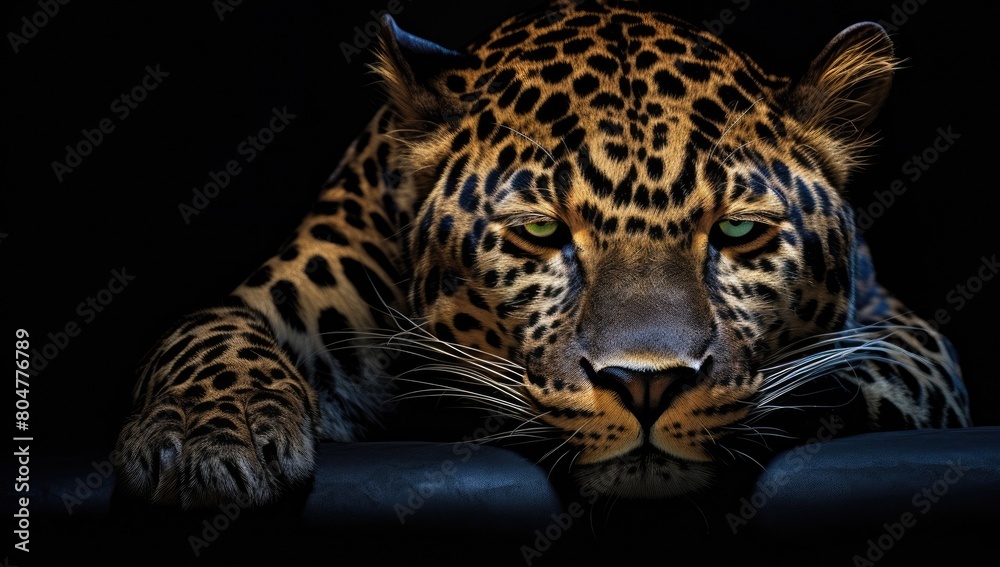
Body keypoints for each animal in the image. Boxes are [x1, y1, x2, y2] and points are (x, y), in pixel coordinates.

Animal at [114, 0, 972, 509]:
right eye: (538, 232)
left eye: (736, 234)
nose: (646, 385)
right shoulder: (287, 295)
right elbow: (207, 331)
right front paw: (207, 444)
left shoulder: (901, 330)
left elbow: (838, 369)